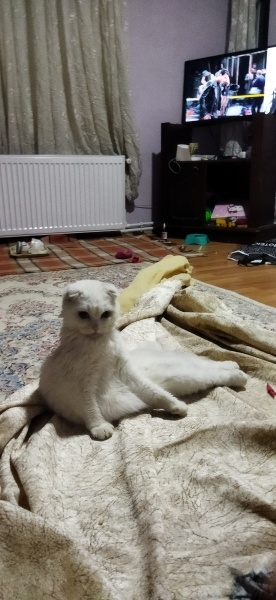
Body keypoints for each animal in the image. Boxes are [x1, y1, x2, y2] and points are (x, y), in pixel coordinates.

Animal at [38, 278, 246, 440]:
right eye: (83, 315)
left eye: (105, 314)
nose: (96, 327)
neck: (100, 345)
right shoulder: (83, 386)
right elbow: (91, 410)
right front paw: (99, 427)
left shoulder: (126, 372)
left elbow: (157, 394)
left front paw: (176, 407)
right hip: (190, 377)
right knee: (215, 371)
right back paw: (240, 374)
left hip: (187, 373)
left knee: (213, 366)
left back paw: (237, 369)